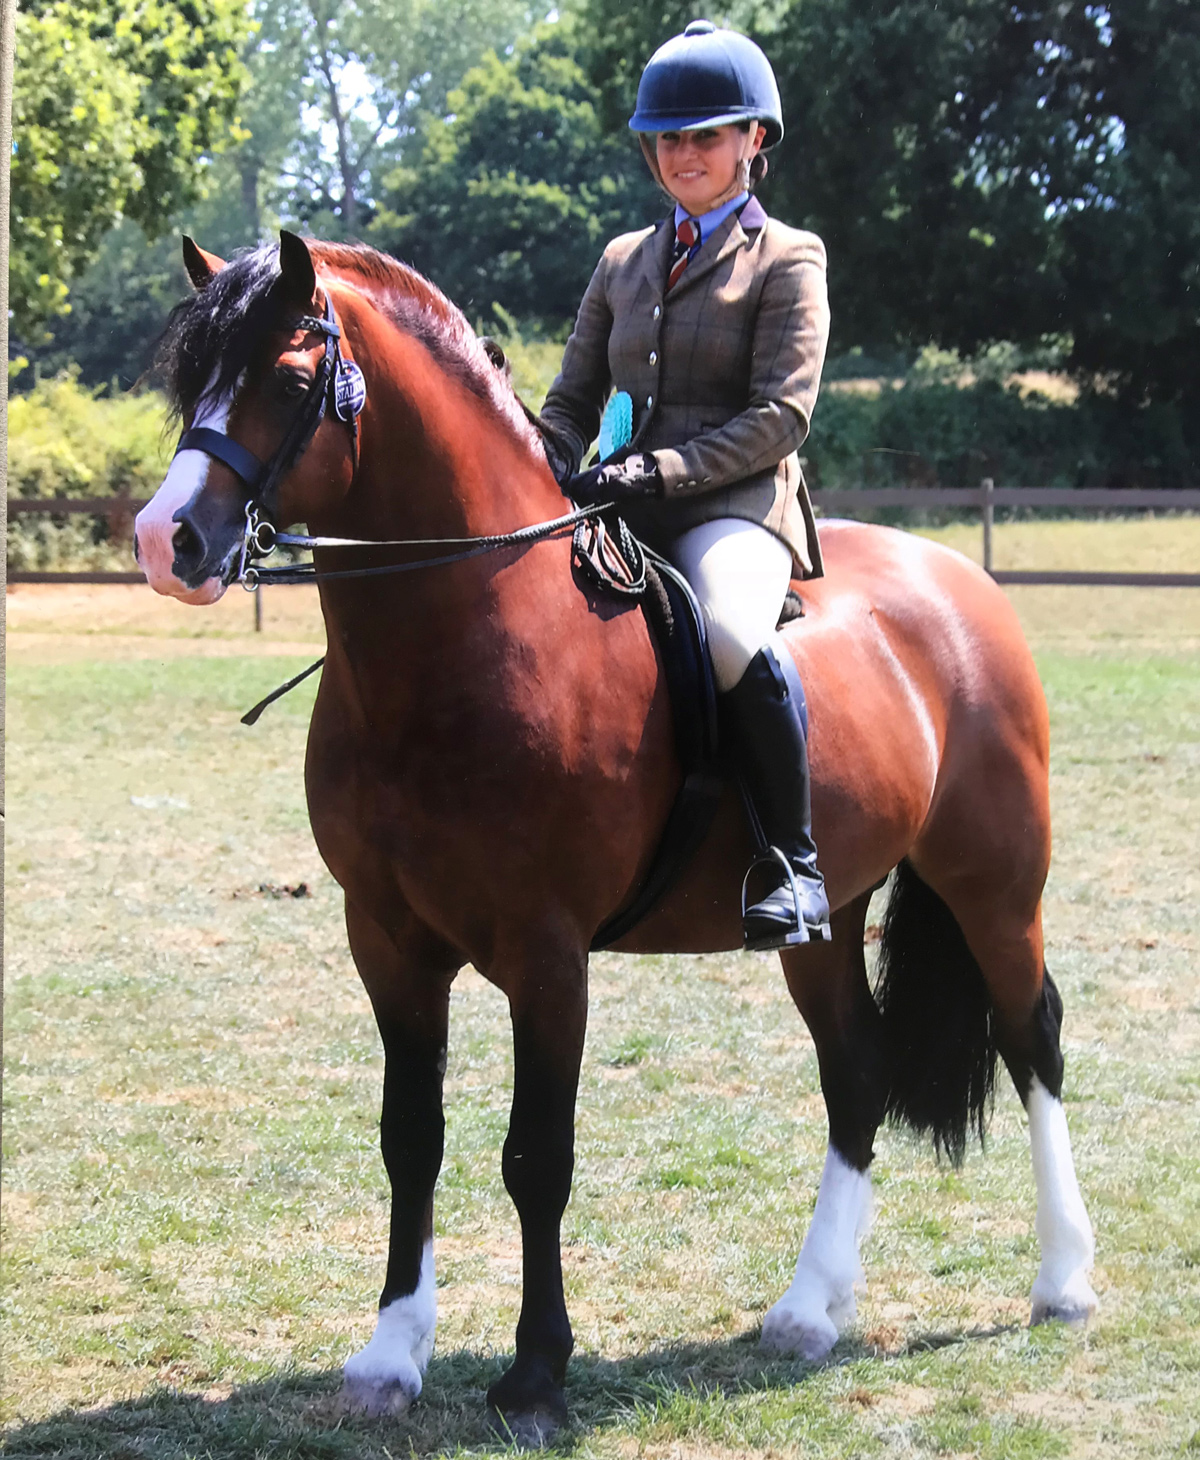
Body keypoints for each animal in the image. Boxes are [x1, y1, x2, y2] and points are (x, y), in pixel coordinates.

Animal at [133, 233, 1097, 1442]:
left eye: (292, 376)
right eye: (190, 377)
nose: (166, 542)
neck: (470, 635)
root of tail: (960, 579)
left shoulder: (547, 955)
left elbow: (536, 1155)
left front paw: (537, 1376)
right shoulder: (387, 941)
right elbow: (411, 1137)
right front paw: (391, 1354)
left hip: (994, 882)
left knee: (1031, 1037)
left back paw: (1063, 1281)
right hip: (828, 915)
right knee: (858, 1067)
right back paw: (809, 1309)